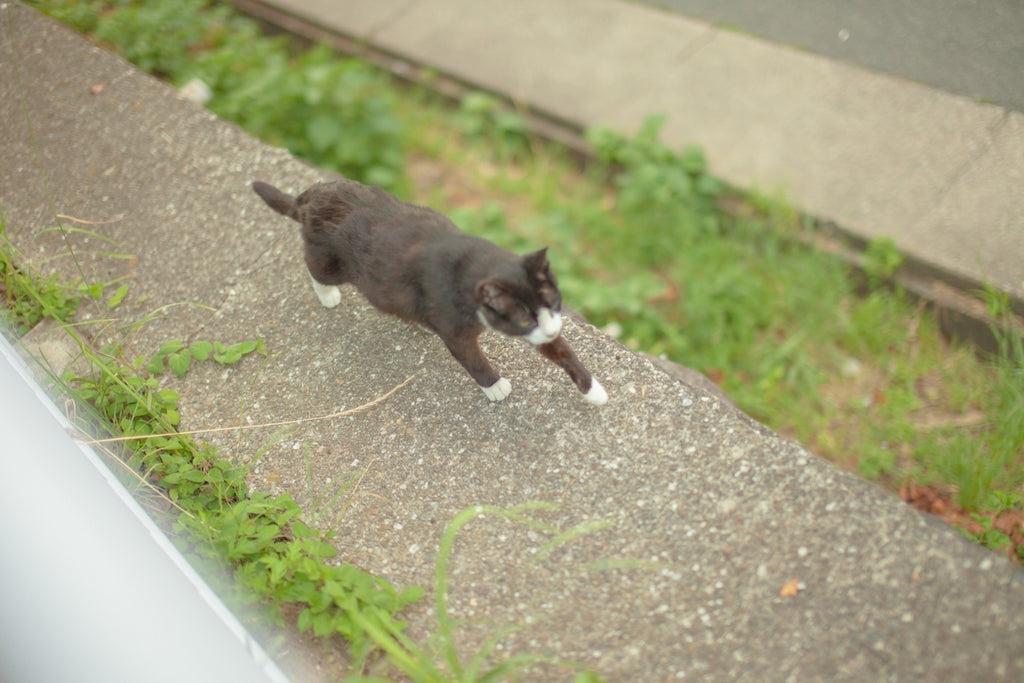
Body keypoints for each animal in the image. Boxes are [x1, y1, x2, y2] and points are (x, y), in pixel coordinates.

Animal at [252, 178, 606, 405]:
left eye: (555, 303)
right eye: (523, 320)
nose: (551, 328)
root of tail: (310, 196)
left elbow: (563, 352)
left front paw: (594, 390)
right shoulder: (457, 331)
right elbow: (471, 358)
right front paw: (495, 387)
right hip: (329, 261)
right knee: (314, 268)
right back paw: (328, 296)